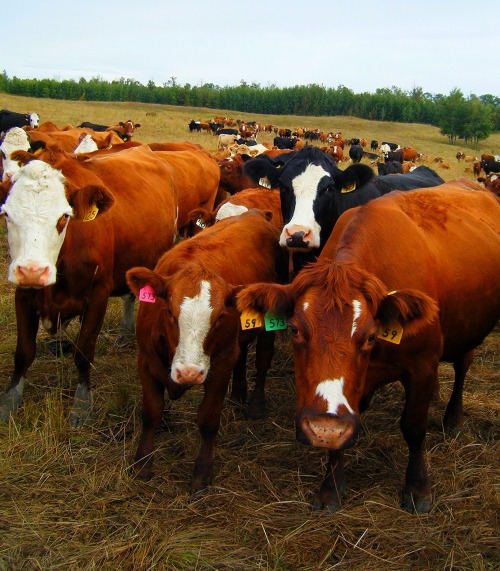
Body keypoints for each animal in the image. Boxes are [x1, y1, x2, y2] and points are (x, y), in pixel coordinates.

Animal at [0, 145, 180, 426]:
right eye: (7, 214)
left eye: (64, 217)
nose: (32, 271)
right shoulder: (25, 294)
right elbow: (23, 352)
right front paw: (9, 402)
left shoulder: (97, 296)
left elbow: (83, 352)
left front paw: (82, 405)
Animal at [126, 209, 290, 492]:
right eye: (169, 311)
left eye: (220, 316)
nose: (189, 373)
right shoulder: (145, 359)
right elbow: (151, 412)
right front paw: (142, 464)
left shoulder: (220, 364)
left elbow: (208, 419)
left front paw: (202, 473)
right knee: (242, 354)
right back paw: (238, 393)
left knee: (263, 359)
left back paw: (256, 403)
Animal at [237, 182, 500, 512]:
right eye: (295, 329)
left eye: (371, 336)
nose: (323, 428)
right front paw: (330, 487)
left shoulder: (423, 366)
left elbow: (414, 427)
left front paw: (417, 488)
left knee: (463, 365)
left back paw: (453, 418)